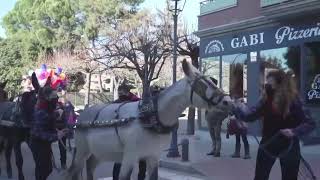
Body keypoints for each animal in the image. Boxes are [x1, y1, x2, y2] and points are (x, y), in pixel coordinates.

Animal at [63, 59, 232, 179]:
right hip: (82, 150)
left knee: (90, 166)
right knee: (74, 171)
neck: (152, 116)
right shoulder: (130, 157)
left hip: (99, 152)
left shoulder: (153, 156)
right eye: (204, 84)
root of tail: (81, 115)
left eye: (212, 81)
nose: (228, 102)